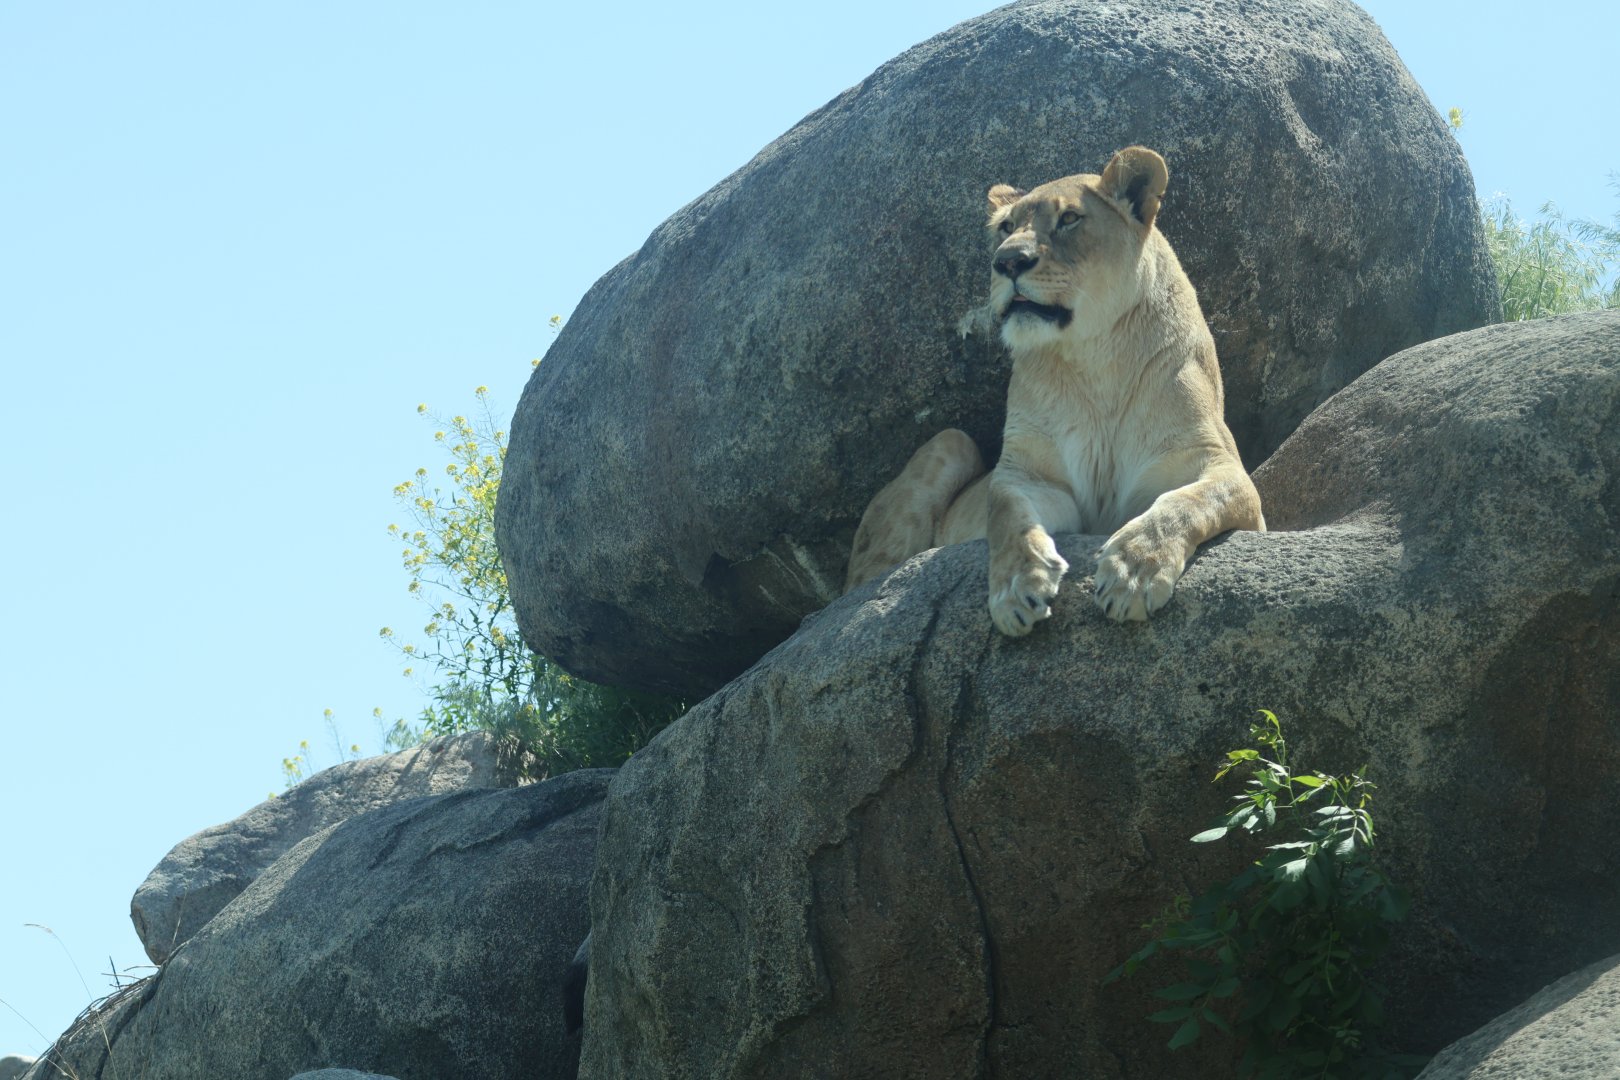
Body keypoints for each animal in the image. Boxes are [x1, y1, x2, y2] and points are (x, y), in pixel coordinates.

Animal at [844, 146, 1265, 635]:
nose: (1007, 261)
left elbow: (1188, 502)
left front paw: (1133, 571)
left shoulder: (1218, 466)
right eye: (1006, 227)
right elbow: (1008, 515)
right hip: (951, 442)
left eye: (1069, 219)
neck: (1096, 359)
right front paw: (1017, 588)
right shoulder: (1030, 475)